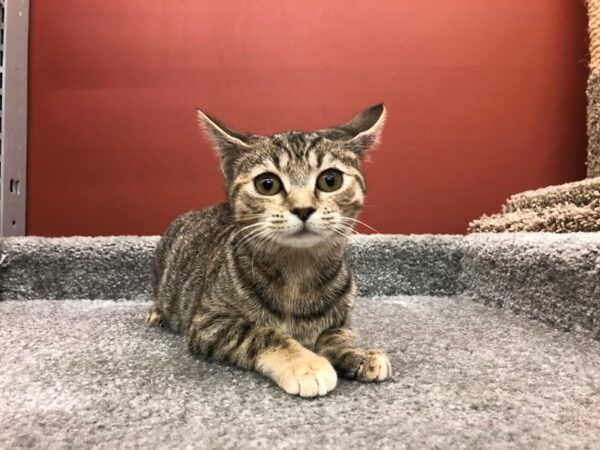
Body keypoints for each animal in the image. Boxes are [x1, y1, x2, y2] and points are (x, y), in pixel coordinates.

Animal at [148, 104, 392, 398]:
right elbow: (260, 333)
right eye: (267, 184)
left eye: (330, 180)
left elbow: (337, 336)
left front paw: (357, 355)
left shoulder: (340, 320)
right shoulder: (209, 323)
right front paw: (304, 364)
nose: (303, 209)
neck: (298, 272)